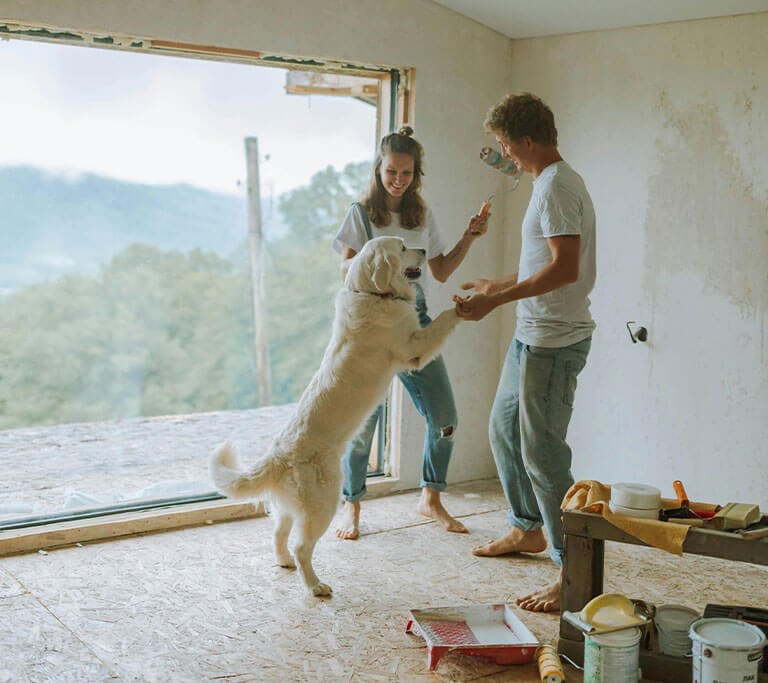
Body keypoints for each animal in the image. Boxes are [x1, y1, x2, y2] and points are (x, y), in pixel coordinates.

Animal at [208, 236, 462, 600]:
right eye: (401, 247)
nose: (425, 251)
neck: (371, 293)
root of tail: (277, 457)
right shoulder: (414, 347)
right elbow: (442, 321)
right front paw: (466, 305)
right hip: (324, 504)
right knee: (303, 547)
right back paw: (315, 585)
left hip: (290, 508)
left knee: (278, 535)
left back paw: (284, 562)